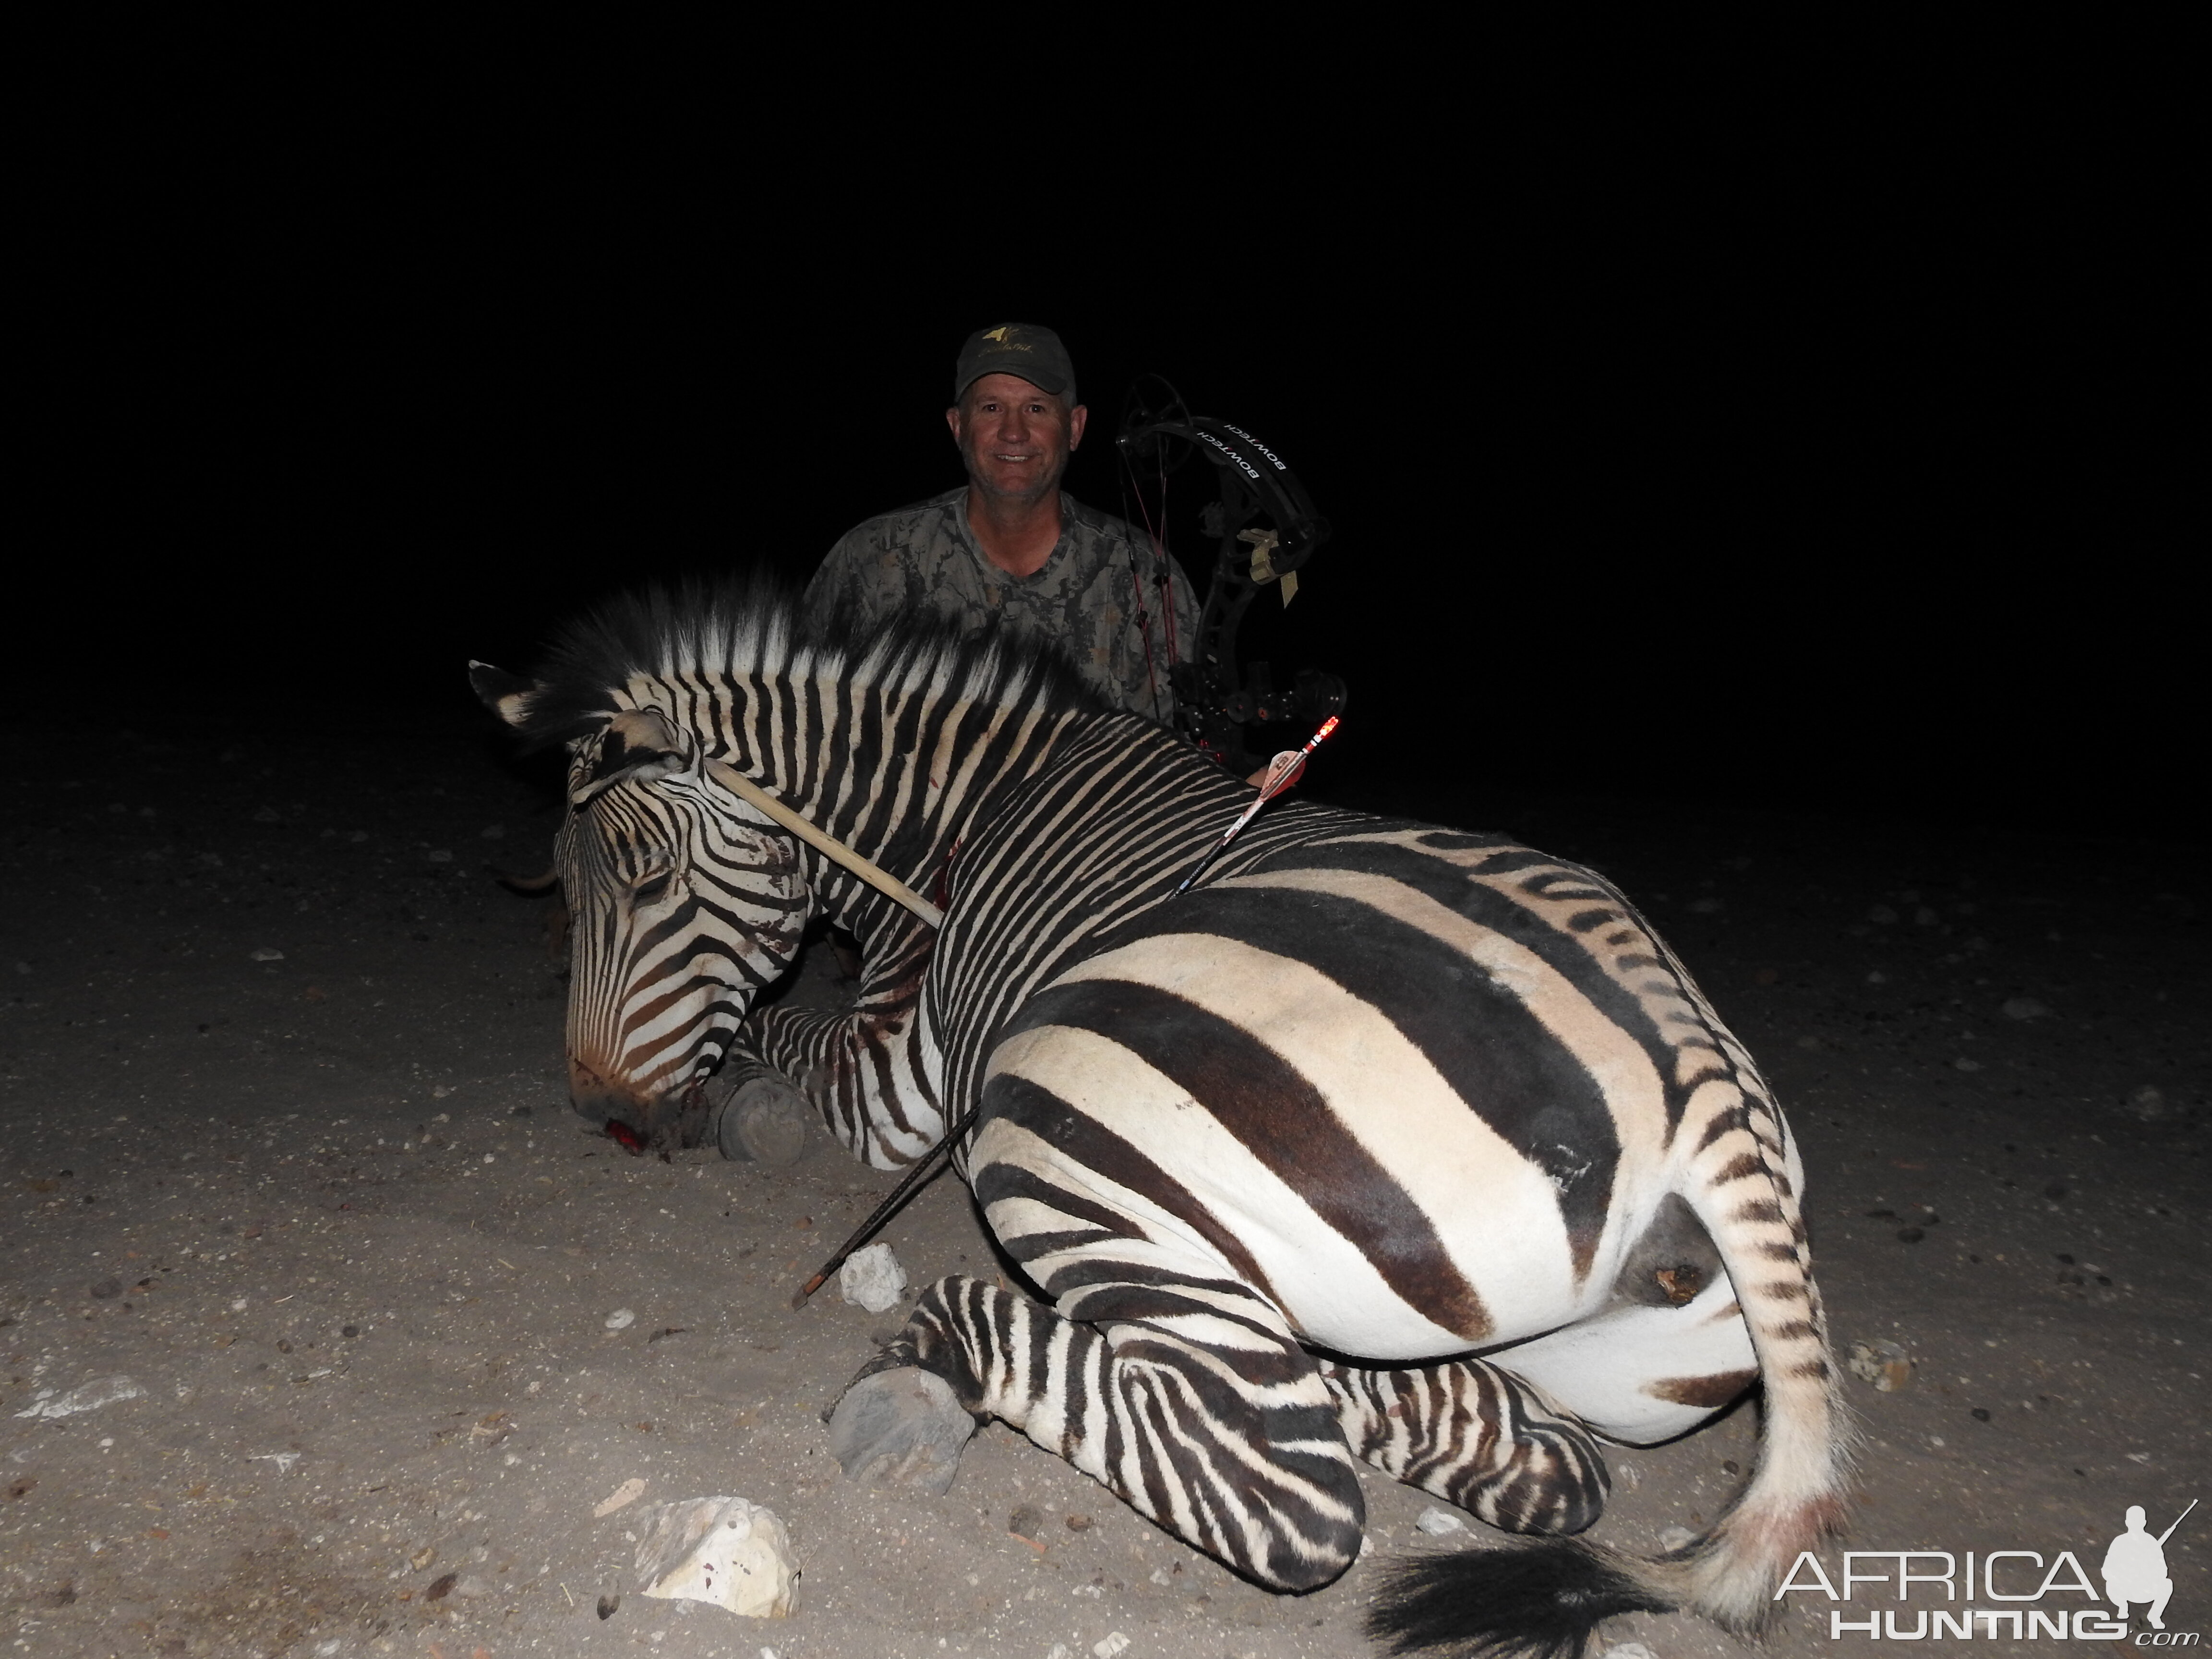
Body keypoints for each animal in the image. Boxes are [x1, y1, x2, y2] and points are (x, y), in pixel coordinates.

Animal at [480, 579, 1849, 1654]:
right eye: (569, 885)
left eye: (648, 880)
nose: (599, 1108)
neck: (954, 823)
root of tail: (1701, 1080)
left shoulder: (900, 1079)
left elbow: (776, 1046)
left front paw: (736, 1106)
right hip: (1571, 1362)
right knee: (1520, 1448)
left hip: (1049, 1120)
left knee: (1287, 1486)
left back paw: (926, 1367)